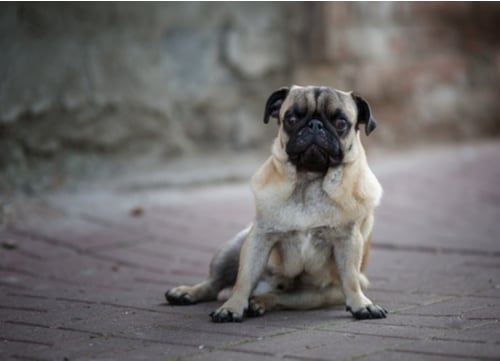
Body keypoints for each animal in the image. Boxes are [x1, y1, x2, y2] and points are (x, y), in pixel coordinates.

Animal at [165, 85, 386, 320]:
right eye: (291, 118)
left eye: (341, 123)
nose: (314, 125)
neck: (309, 181)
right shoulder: (259, 238)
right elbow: (243, 279)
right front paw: (233, 306)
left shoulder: (348, 241)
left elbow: (351, 279)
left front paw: (361, 304)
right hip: (231, 249)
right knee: (215, 284)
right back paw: (188, 292)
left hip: (319, 294)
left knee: (280, 298)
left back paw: (259, 302)